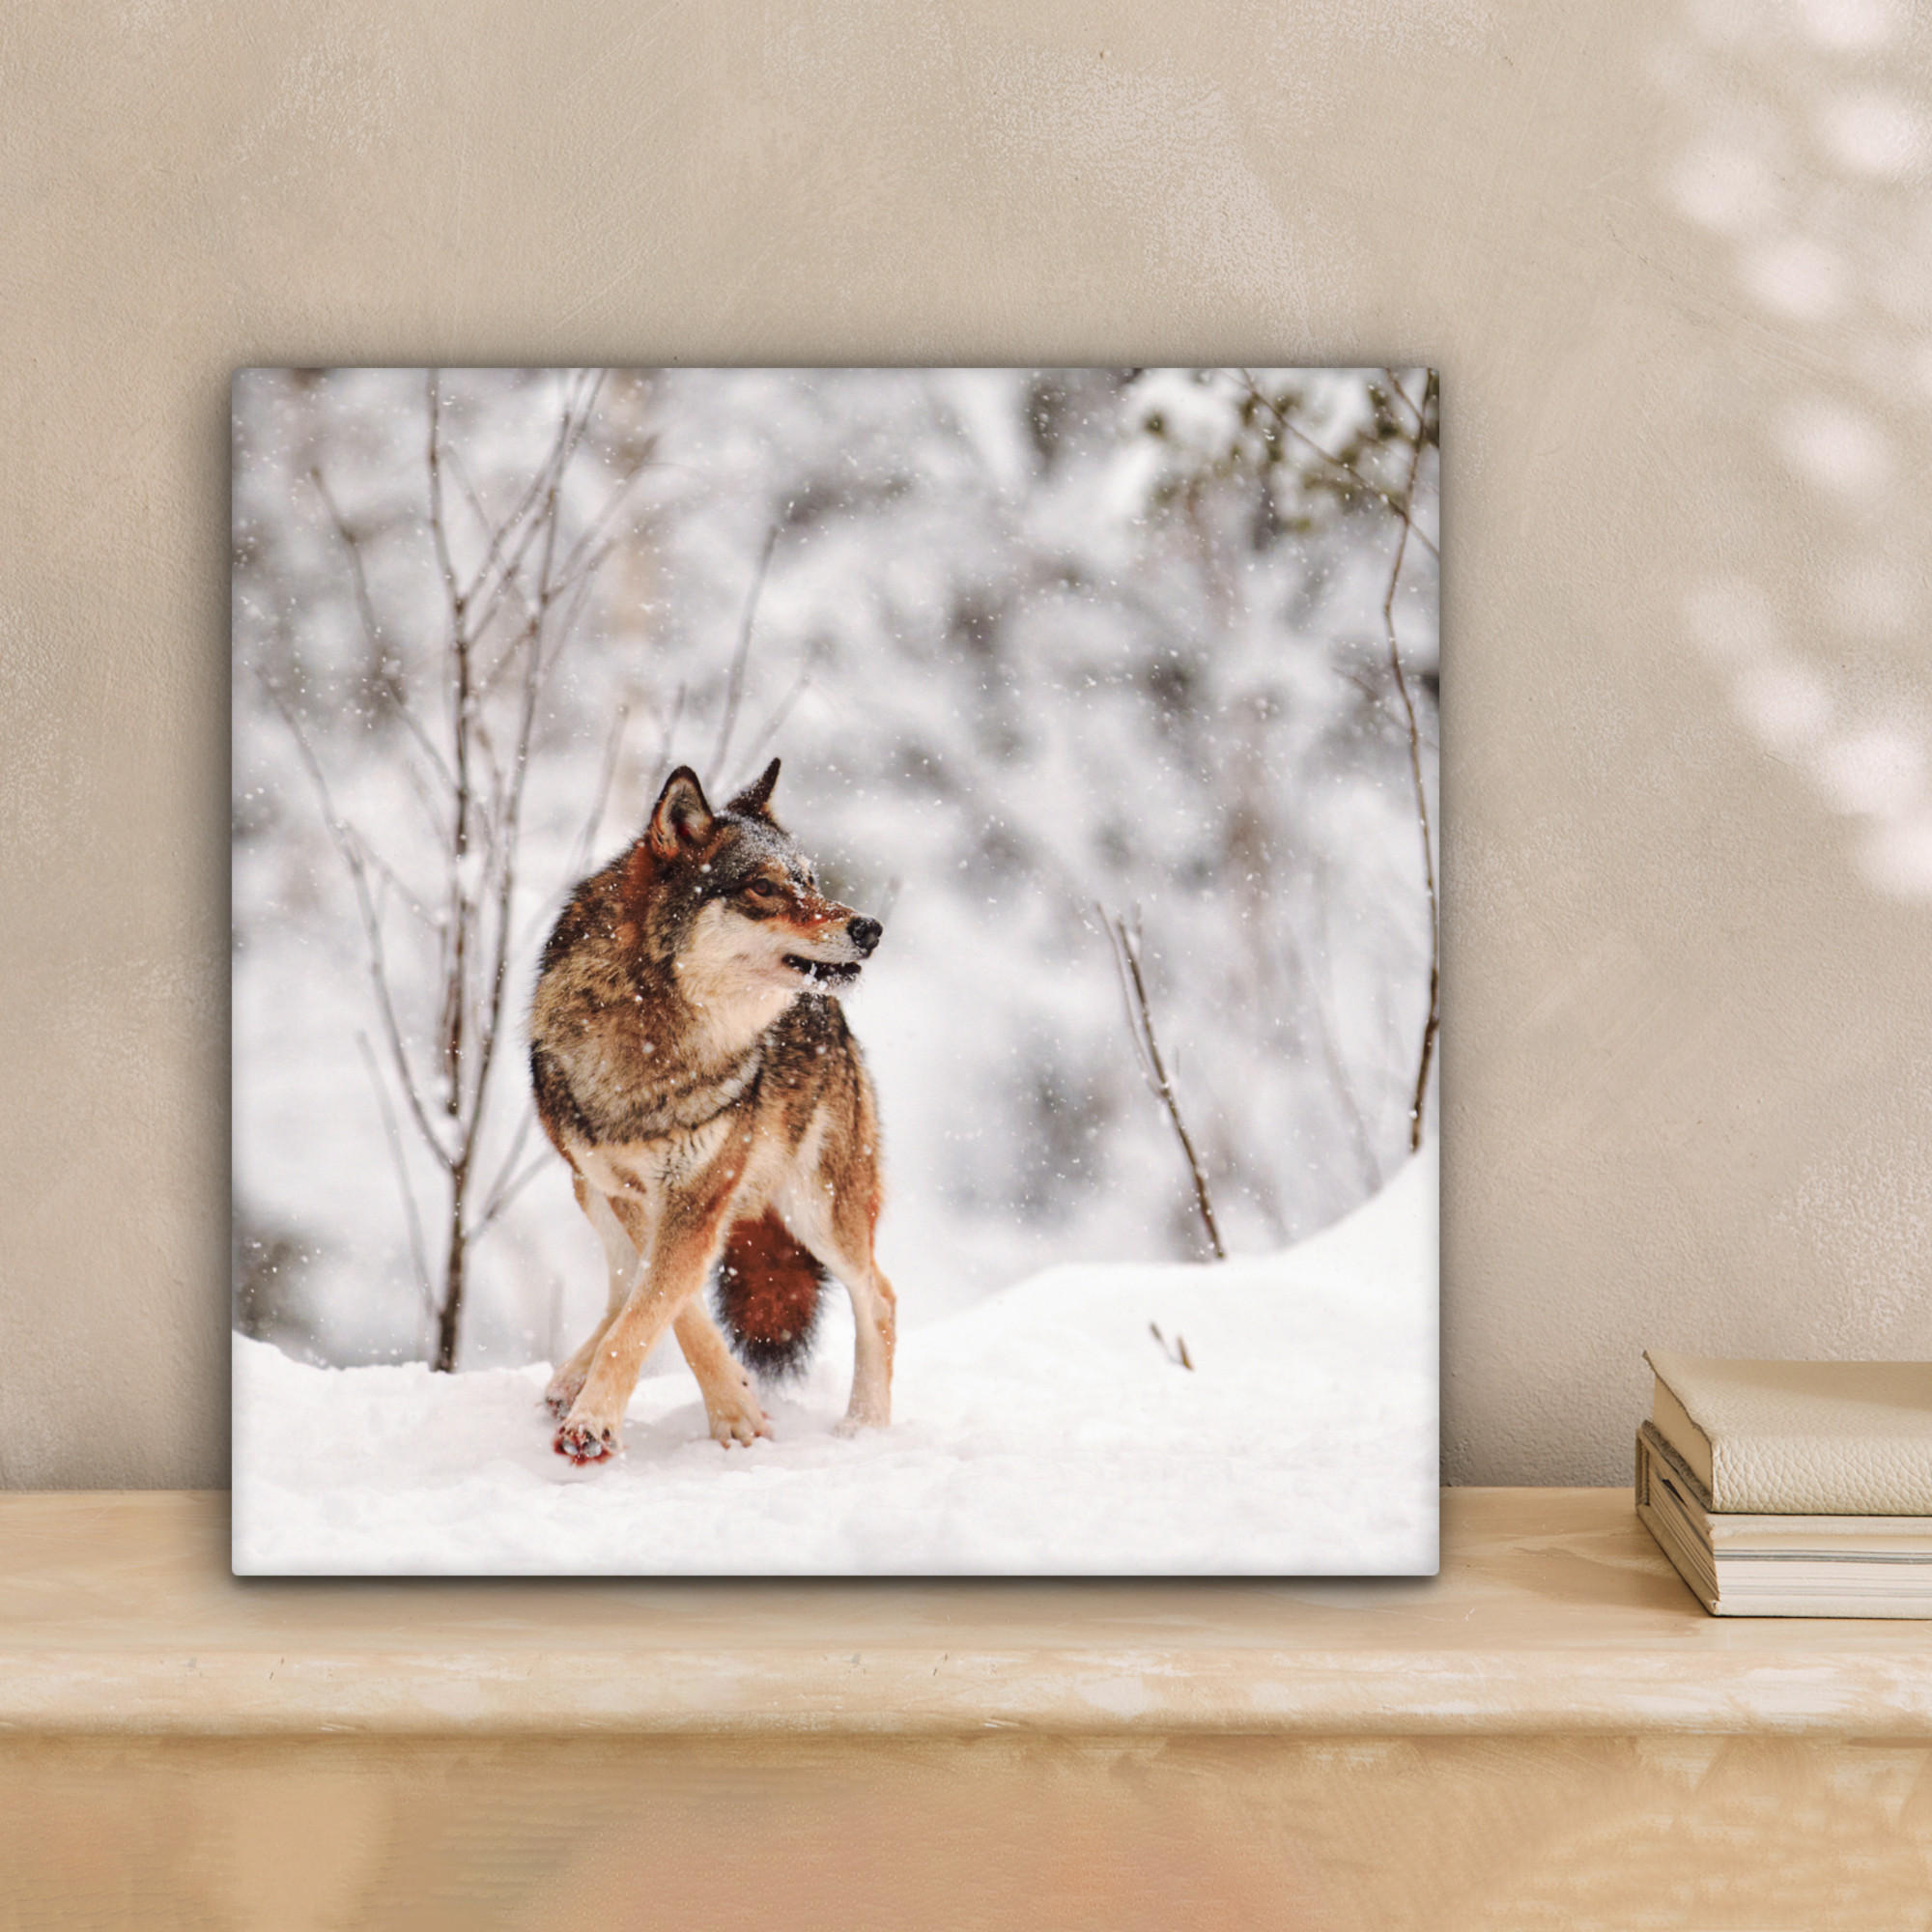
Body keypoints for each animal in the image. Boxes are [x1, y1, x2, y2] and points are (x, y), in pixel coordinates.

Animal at [529, 758, 894, 1465]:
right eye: (764, 887)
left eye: (810, 881)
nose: (869, 927)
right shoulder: (632, 1192)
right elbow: (667, 1310)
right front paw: (735, 1408)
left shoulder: (697, 1194)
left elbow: (651, 1313)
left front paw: (598, 1424)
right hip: (588, 1189)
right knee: (620, 1286)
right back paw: (568, 1381)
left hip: (817, 1209)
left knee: (881, 1298)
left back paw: (865, 1427)